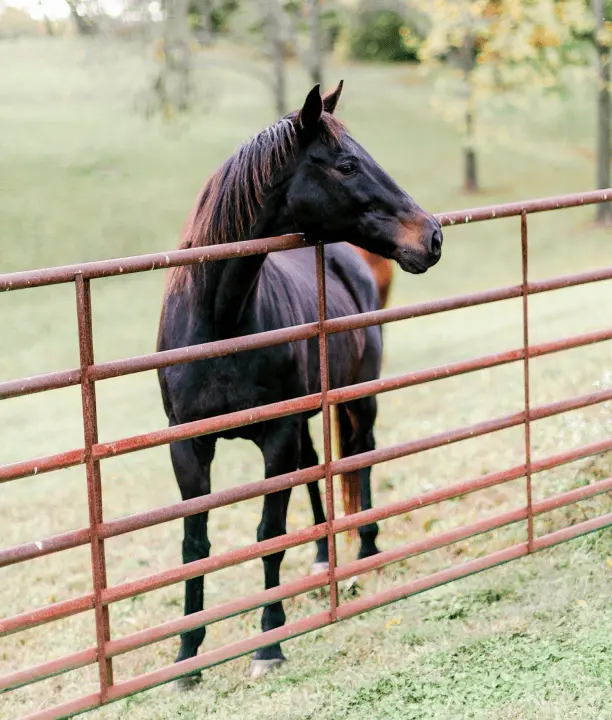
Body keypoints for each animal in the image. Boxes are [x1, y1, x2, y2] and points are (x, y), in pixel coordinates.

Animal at [155, 81, 442, 684]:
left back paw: (364, 556)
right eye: (348, 164)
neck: (220, 323)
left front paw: (269, 643)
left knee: (361, 454)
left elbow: (269, 535)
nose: (431, 236)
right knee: (318, 466)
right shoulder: (189, 445)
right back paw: (322, 558)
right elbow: (195, 543)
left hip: (359, 398)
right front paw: (187, 656)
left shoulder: (277, 435)